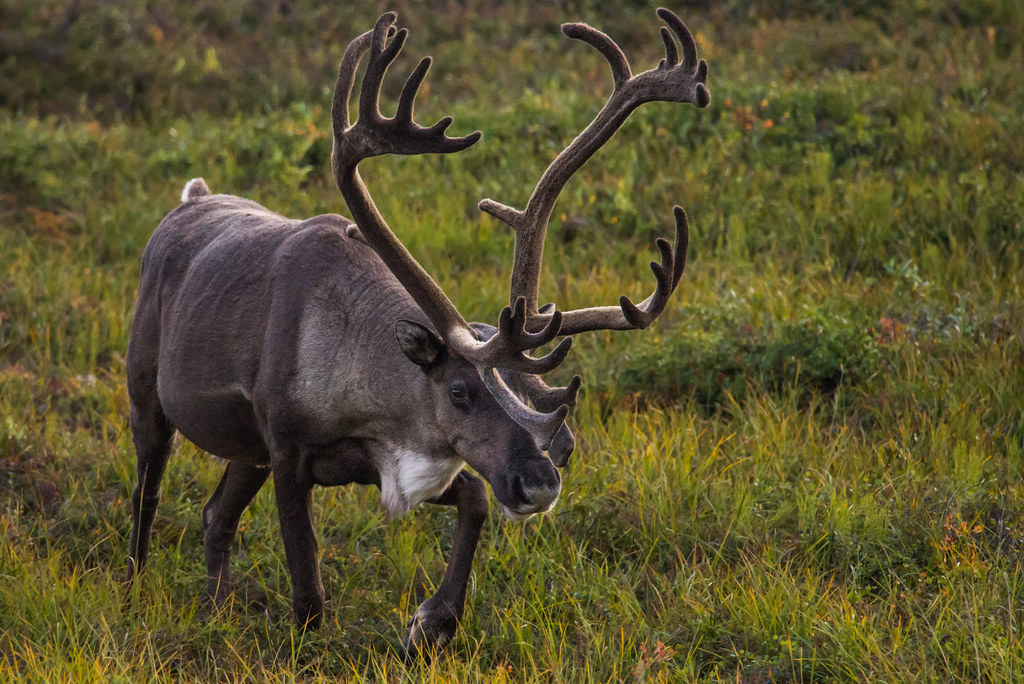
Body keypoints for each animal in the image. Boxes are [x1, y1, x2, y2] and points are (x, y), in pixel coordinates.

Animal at [126, 8, 709, 660]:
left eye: (530, 394)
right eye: (459, 392)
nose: (540, 483)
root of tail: (190, 200)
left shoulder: (391, 466)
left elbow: (475, 499)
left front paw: (432, 622)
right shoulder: (289, 454)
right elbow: (308, 583)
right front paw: (309, 644)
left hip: (244, 448)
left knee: (214, 516)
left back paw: (218, 608)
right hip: (149, 394)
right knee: (147, 492)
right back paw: (135, 589)